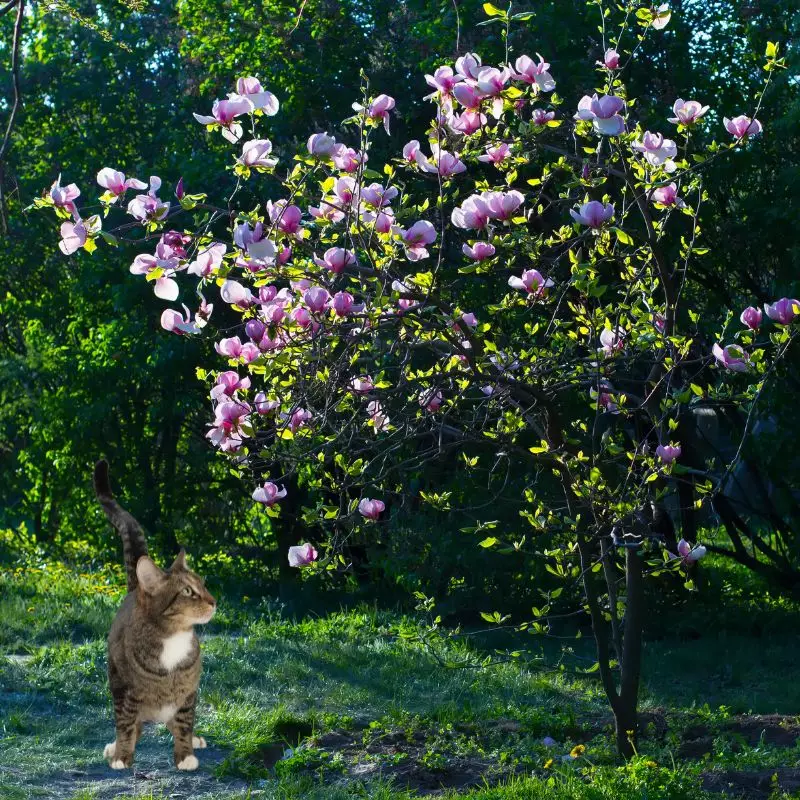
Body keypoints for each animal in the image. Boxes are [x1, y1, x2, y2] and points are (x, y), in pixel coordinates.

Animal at [93, 460, 216, 772]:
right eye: (188, 591)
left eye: (203, 585)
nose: (214, 601)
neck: (172, 637)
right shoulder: (124, 689)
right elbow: (125, 724)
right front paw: (122, 754)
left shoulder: (188, 691)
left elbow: (184, 722)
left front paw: (185, 753)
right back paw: (115, 746)